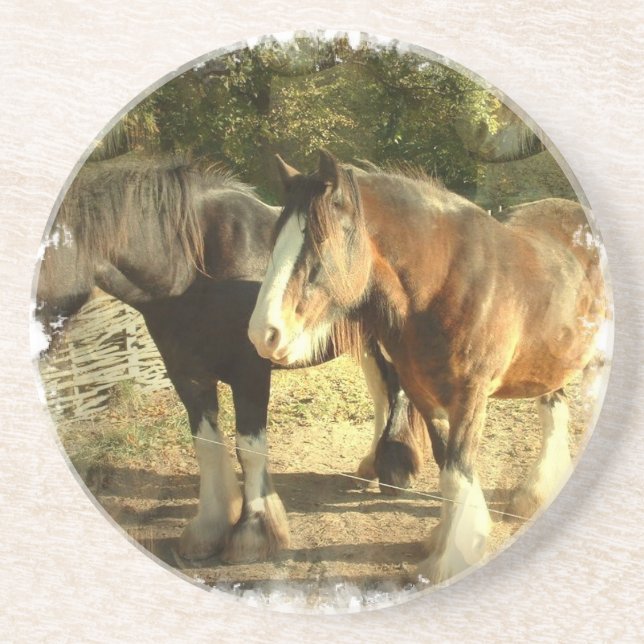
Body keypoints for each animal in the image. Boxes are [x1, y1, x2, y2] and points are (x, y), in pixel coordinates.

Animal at [34, 153, 426, 565]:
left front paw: (252, 534)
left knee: (398, 391)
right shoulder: (186, 375)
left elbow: (249, 449)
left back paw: (395, 470)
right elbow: (207, 446)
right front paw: (209, 528)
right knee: (382, 391)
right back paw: (372, 464)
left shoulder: (250, 372)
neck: (197, 271)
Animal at [247, 149, 607, 583]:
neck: (447, 286)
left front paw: (453, 557)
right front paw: (442, 540)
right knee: (553, 411)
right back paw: (533, 495)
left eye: (320, 241)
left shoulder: (470, 397)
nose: (263, 333)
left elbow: (456, 471)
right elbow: (444, 466)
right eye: (274, 240)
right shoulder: (423, 393)